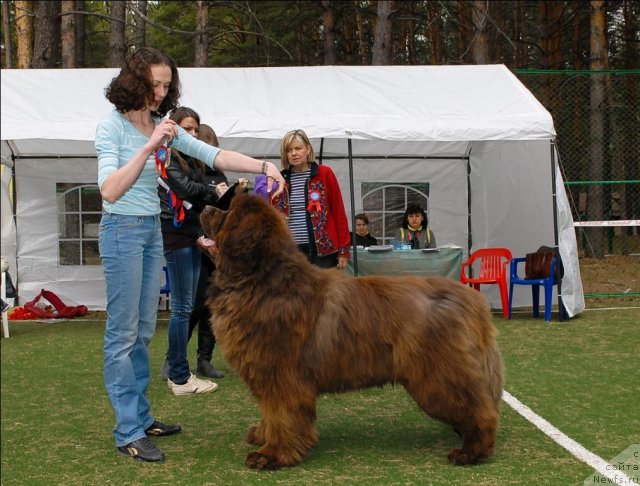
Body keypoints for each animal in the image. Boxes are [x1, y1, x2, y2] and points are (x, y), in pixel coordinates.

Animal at [200, 194, 504, 470]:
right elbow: (270, 413)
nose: (204, 207)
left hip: (438, 374)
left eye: (227, 213)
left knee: (480, 409)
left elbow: (281, 415)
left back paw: (471, 451)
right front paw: (262, 436)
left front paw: (272, 455)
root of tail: (468, 297)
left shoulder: (281, 375)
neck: (261, 282)